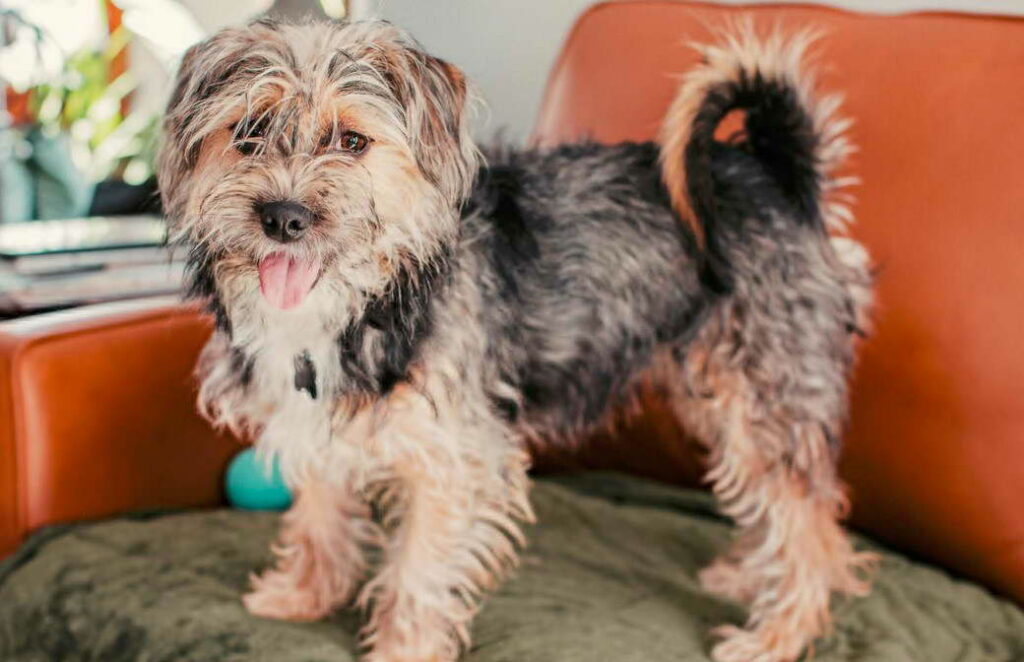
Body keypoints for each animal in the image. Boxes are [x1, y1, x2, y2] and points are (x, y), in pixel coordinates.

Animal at [155, 15, 876, 662]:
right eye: (248, 132)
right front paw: (303, 596)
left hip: (767, 392)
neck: (369, 298)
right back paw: (748, 575)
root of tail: (777, 177)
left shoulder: (454, 457)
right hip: (720, 395)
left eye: (353, 141)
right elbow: (318, 518)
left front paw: (402, 651)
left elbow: (417, 572)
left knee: (811, 527)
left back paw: (777, 636)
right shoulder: (316, 419)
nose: (284, 217)